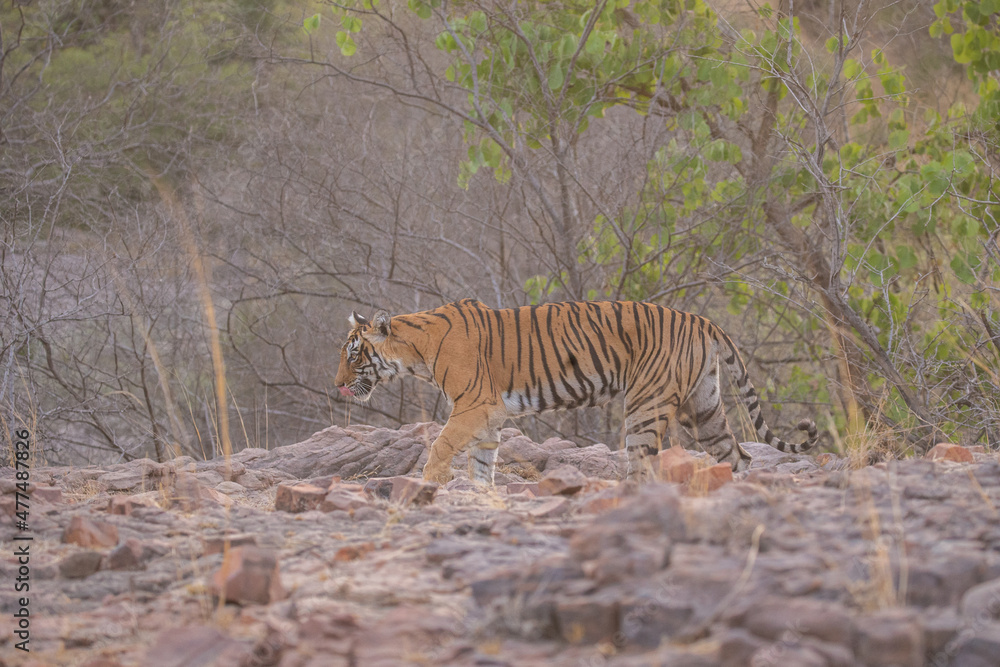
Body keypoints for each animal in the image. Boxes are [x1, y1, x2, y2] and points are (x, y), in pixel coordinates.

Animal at [334, 299, 818, 485]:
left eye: (354, 355)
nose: (337, 384)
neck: (414, 351)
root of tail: (701, 319)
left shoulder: (474, 405)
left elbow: (440, 446)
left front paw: (428, 484)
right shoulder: (489, 415)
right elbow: (481, 462)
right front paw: (478, 493)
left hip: (645, 405)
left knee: (642, 462)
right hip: (703, 407)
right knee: (739, 455)